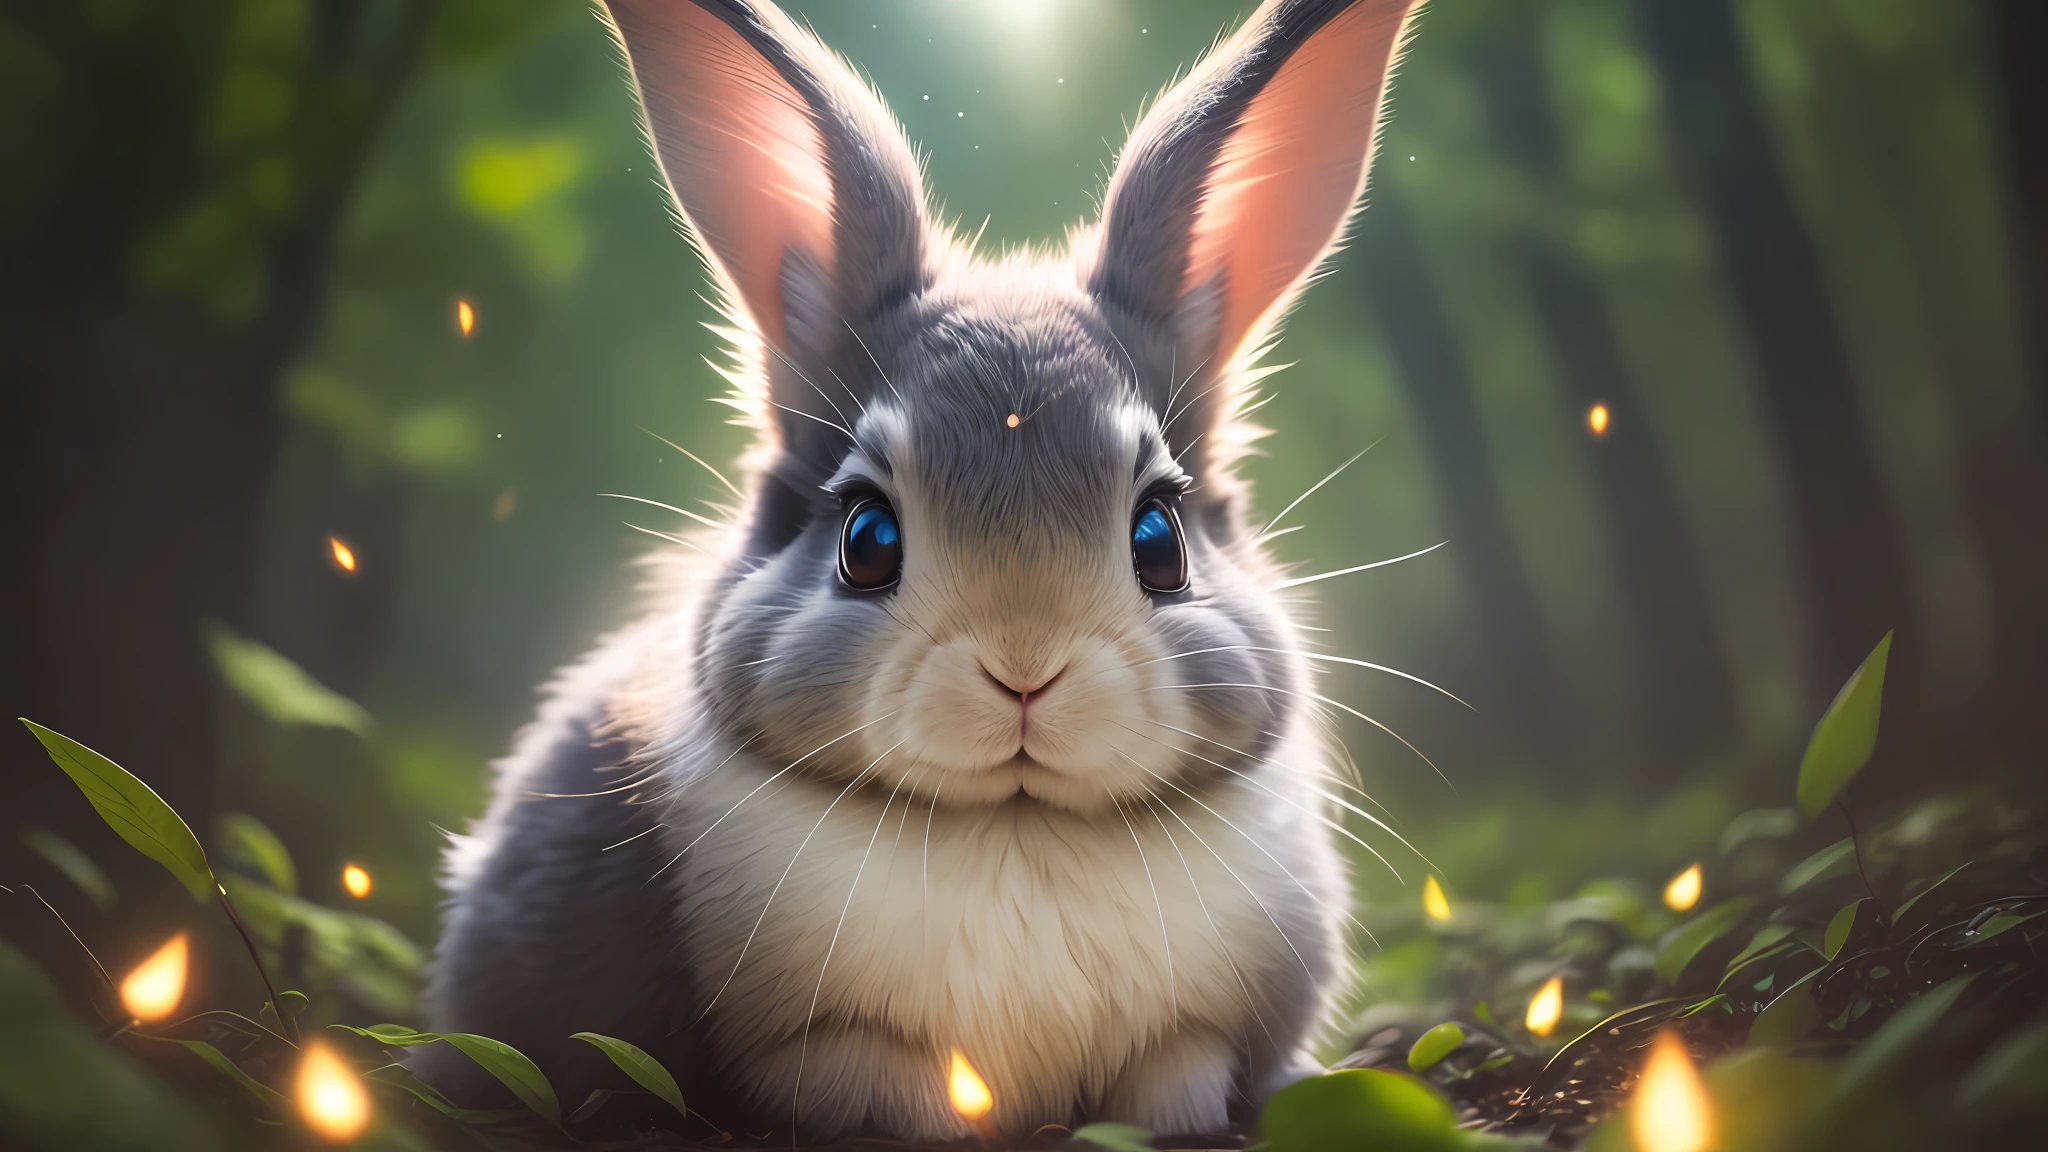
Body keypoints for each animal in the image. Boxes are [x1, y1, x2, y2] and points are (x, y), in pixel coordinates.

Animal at [419, 0, 1425, 1131]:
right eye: (867, 539)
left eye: (1158, 539)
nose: (1024, 669)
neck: (1016, 826)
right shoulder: (819, 1045)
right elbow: (879, 1087)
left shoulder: (1195, 1036)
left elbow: (1175, 1080)